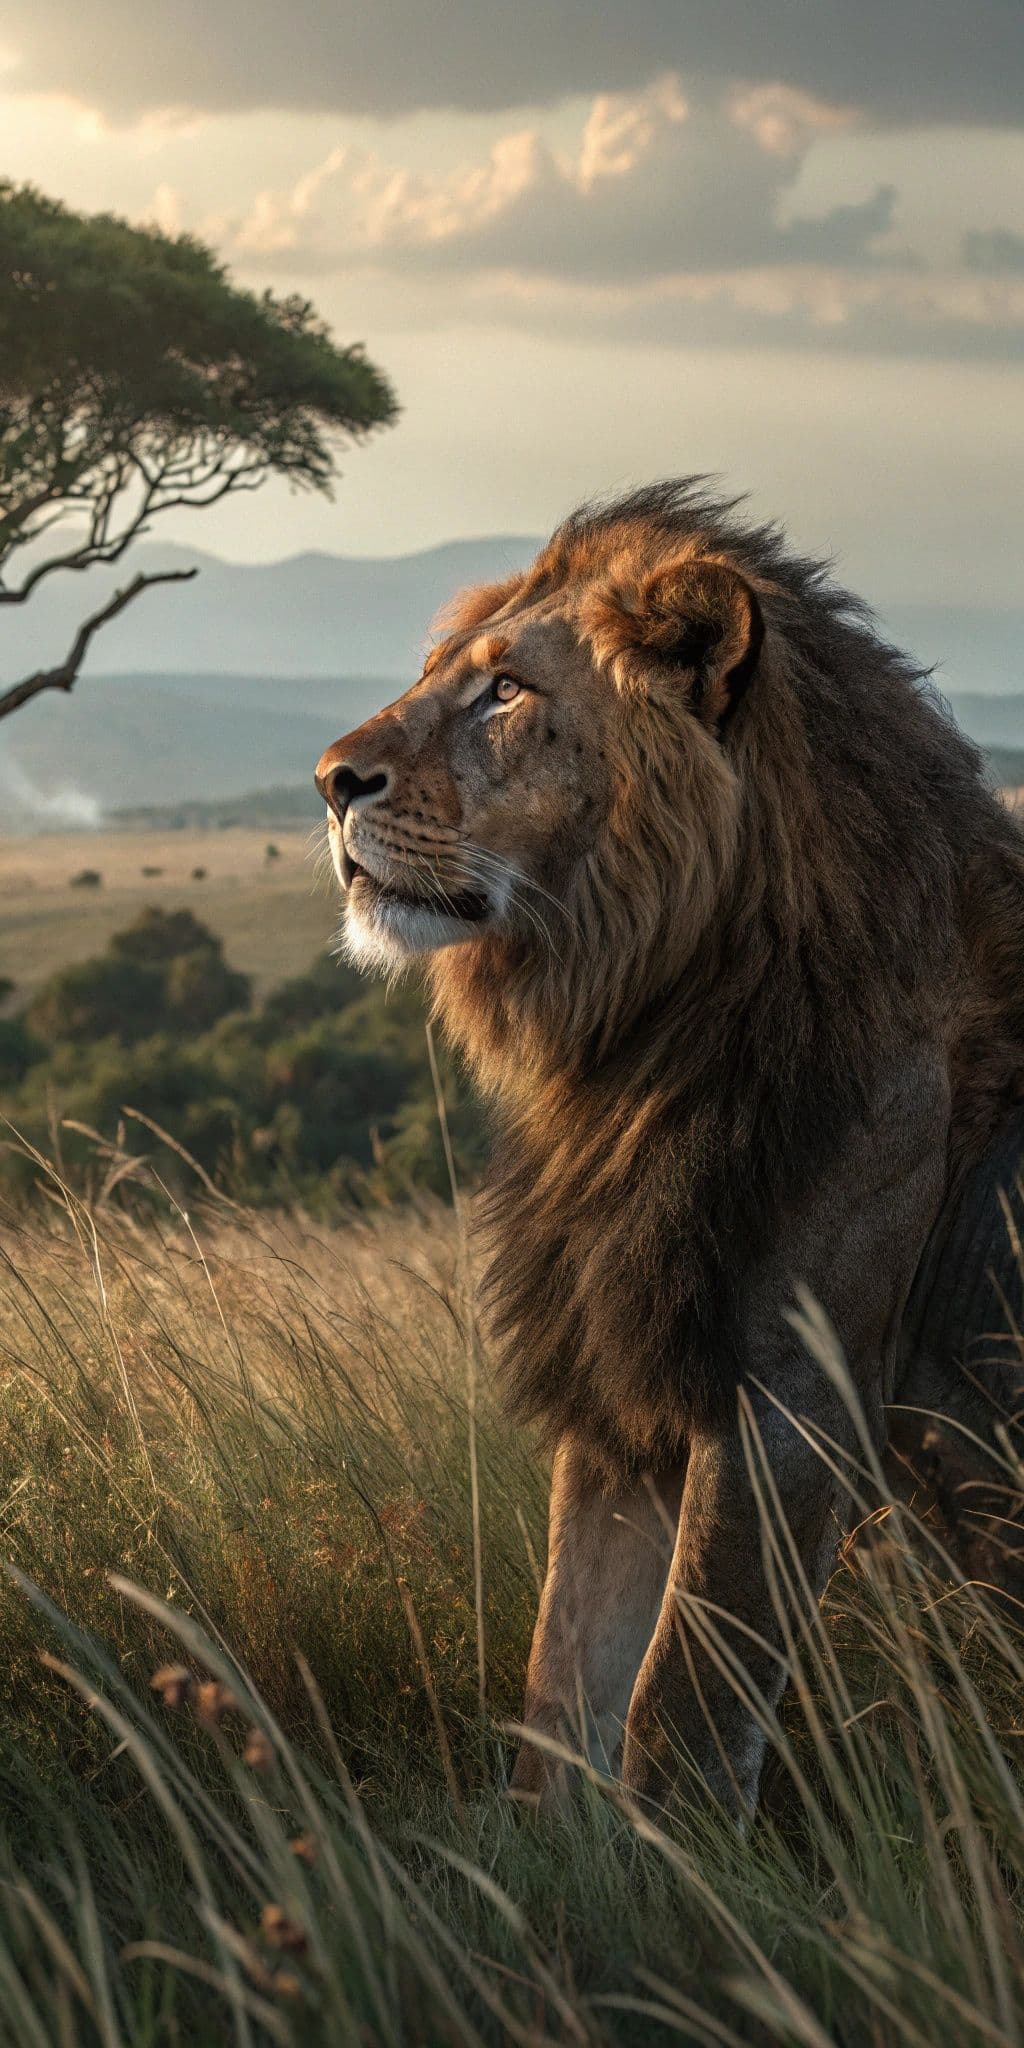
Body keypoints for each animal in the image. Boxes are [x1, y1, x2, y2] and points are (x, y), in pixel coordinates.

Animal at [315, 481, 1024, 1816]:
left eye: (504, 691)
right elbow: (560, 1694)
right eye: (435, 674)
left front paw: (685, 1858)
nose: (331, 780)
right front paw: (561, 1858)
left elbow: (676, 1711)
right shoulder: (623, 1382)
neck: (642, 1030)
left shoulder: (792, 1394)